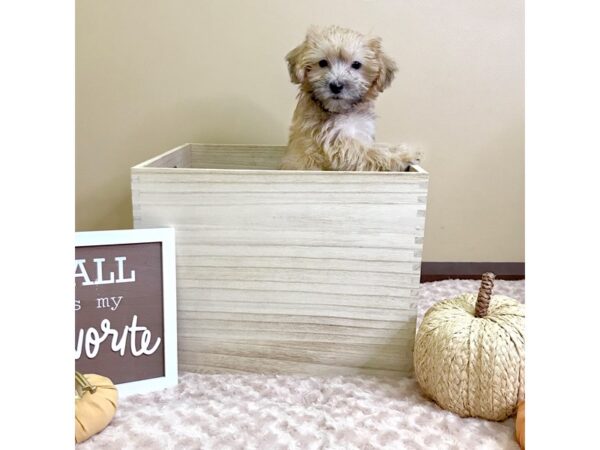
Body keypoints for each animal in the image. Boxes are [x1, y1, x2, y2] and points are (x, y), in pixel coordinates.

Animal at [280, 25, 418, 171]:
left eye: (356, 64)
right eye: (322, 63)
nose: (336, 86)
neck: (344, 112)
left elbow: (377, 146)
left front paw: (398, 149)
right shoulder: (336, 145)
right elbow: (369, 152)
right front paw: (404, 155)